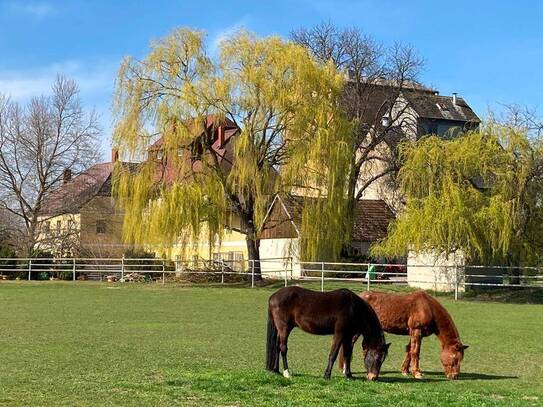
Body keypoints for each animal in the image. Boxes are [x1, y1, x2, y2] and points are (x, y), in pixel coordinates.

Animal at [342, 292, 470, 380]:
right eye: (455, 359)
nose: (455, 376)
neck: (427, 307)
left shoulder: (415, 333)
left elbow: (409, 350)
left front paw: (405, 370)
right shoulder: (416, 331)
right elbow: (415, 352)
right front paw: (417, 373)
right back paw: (345, 370)